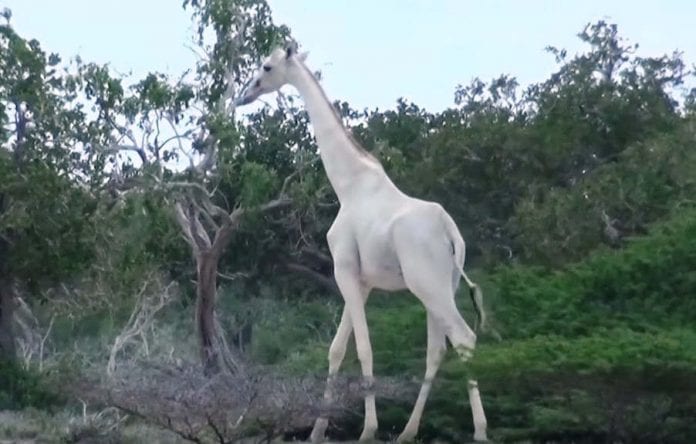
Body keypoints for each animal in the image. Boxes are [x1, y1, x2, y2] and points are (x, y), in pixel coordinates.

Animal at [235, 44, 489, 443]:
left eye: (267, 66)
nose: (244, 94)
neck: (348, 185)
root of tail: (452, 233)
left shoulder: (344, 269)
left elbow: (364, 348)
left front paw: (368, 429)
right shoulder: (363, 280)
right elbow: (337, 349)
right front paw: (317, 429)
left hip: (427, 284)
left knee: (462, 338)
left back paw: (479, 430)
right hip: (442, 286)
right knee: (437, 349)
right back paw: (407, 432)